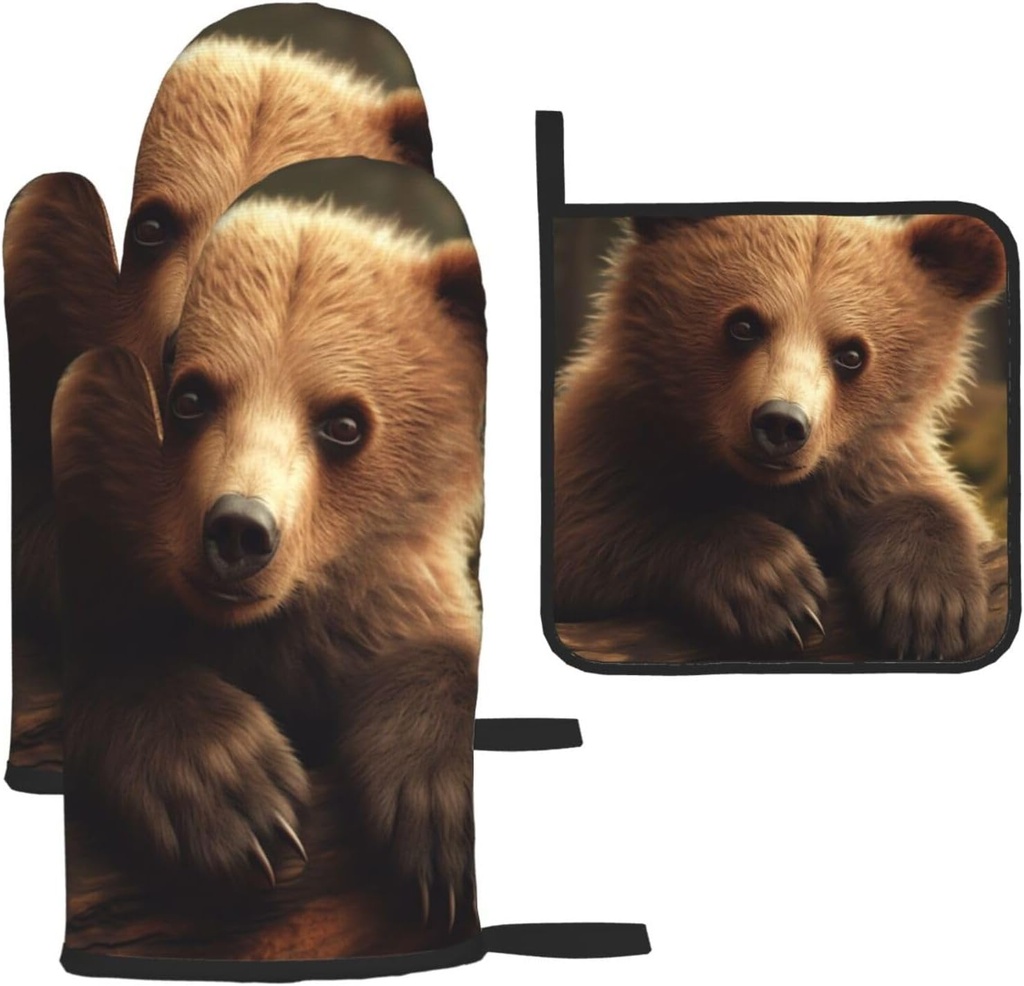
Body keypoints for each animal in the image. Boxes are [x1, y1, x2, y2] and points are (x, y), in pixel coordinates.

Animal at [51, 178, 486, 926]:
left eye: (344, 422)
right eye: (189, 395)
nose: (238, 530)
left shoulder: (384, 599)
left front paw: (437, 808)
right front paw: (236, 793)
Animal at [553, 213, 1007, 662]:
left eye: (851, 354)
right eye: (743, 325)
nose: (782, 423)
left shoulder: (865, 472)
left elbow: (935, 502)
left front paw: (929, 605)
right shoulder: (611, 442)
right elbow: (594, 531)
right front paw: (774, 586)